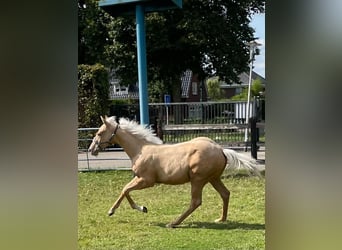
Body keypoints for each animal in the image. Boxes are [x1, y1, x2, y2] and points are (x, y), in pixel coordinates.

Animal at [89, 116, 260, 228]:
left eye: (99, 133)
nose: (91, 150)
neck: (140, 149)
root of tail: (221, 149)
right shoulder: (139, 178)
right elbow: (124, 190)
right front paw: (117, 210)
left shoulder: (146, 180)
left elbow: (125, 190)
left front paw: (138, 209)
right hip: (213, 178)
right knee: (225, 193)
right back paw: (221, 219)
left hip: (198, 180)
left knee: (196, 201)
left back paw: (173, 223)